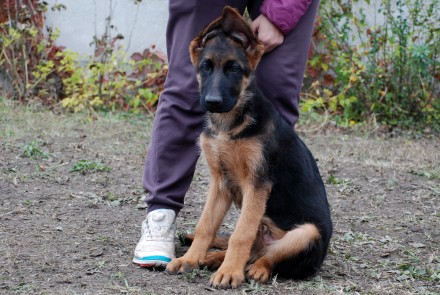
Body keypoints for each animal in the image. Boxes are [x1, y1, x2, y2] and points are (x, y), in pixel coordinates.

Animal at [167, 6, 332, 290]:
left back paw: (253, 269)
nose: (212, 102)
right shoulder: (220, 182)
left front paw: (229, 272)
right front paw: (190, 259)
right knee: (253, 248)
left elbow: (240, 235)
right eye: (205, 67)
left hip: (307, 232)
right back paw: (211, 258)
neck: (229, 125)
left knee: (267, 256)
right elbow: (205, 226)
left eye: (234, 68)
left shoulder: (258, 184)